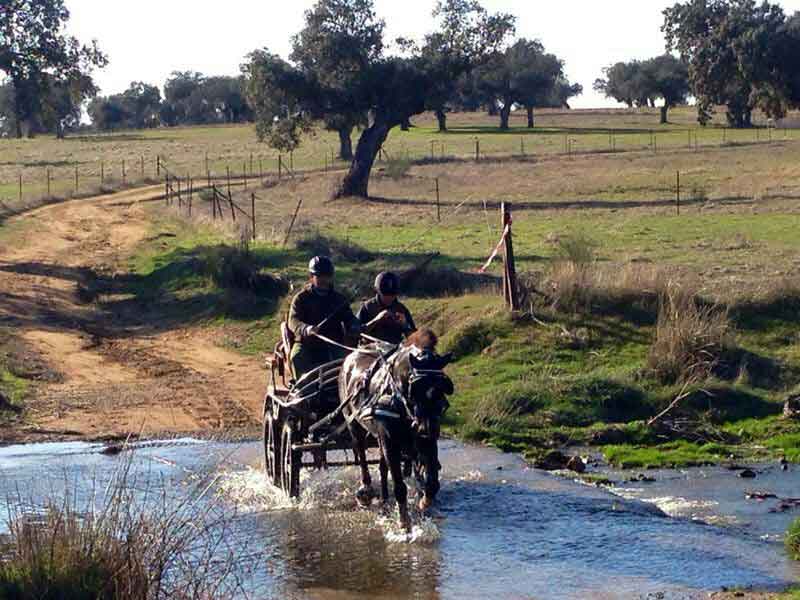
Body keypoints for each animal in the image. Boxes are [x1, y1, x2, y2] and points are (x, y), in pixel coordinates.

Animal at [336, 330, 450, 532]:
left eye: (441, 386)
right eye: (415, 387)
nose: (425, 428)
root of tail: (350, 357)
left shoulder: (426, 441)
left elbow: (432, 482)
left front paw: (424, 502)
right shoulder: (390, 441)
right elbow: (399, 485)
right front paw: (404, 522)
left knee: (382, 467)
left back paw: (384, 501)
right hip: (354, 425)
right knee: (361, 454)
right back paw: (366, 490)